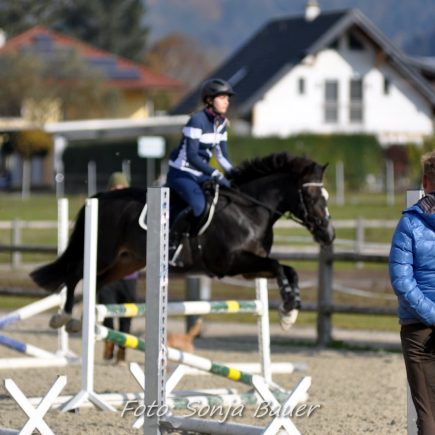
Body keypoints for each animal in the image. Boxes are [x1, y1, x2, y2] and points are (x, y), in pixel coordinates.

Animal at [30, 152, 335, 332]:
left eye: (327, 197)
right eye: (312, 197)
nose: (328, 234)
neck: (250, 209)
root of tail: (101, 197)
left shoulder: (249, 268)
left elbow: (288, 270)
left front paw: (290, 310)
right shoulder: (232, 263)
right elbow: (280, 266)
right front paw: (287, 312)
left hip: (127, 261)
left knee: (96, 281)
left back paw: (82, 320)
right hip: (103, 252)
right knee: (75, 274)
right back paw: (63, 317)